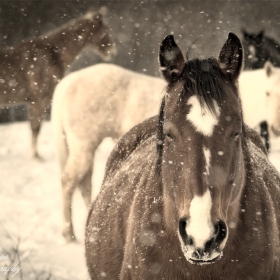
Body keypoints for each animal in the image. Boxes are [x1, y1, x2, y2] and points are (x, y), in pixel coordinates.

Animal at [0, 6, 115, 159]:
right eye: (104, 30)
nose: (112, 51)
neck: (54, 54)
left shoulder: (34, 102)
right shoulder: (39, 100)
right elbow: (35, 128)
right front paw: (36, 157)